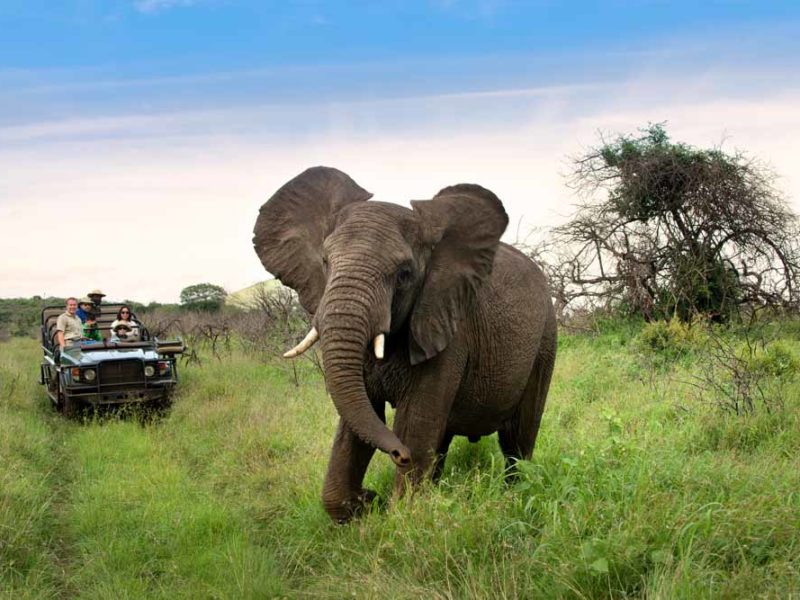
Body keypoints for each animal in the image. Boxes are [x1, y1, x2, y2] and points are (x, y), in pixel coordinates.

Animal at [253, 166, 552, 524]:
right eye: (325, 262)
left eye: (405, 274)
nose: (399, 455)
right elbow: (356, 423)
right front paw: (363, 506)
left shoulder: (447, 326)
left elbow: (415, 421)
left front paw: (398, 511)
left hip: (545, 340)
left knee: (518, 440)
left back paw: (514, 494)